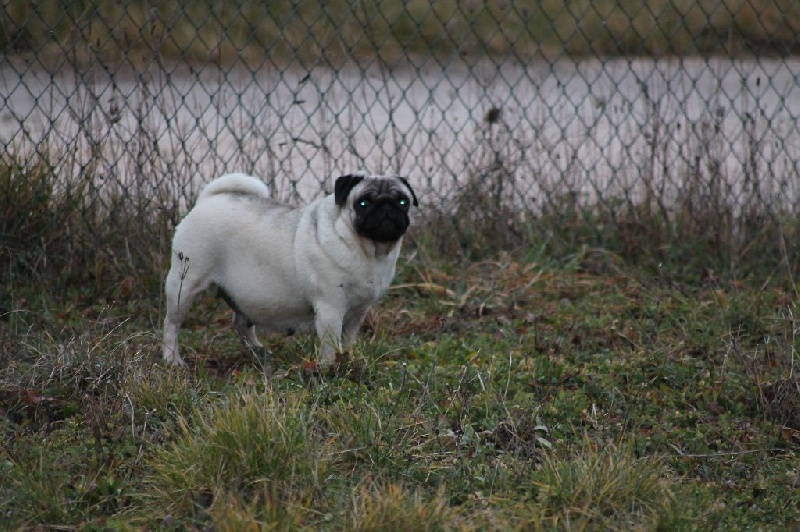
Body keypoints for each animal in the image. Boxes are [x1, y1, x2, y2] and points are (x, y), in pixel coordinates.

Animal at [162, 172, 417, 367]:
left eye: (403, 202)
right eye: (363, 203)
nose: (387, 207)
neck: (368, 250)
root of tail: (208, 199)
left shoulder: (357, 313)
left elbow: (348, 341)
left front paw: (350, 360)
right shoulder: (331, 309)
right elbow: (331, 346)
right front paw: (330, 369)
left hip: (244, 294)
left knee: (241, 324)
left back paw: (258, 351)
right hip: (184, 285)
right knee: (171, 325)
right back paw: (172, 360)